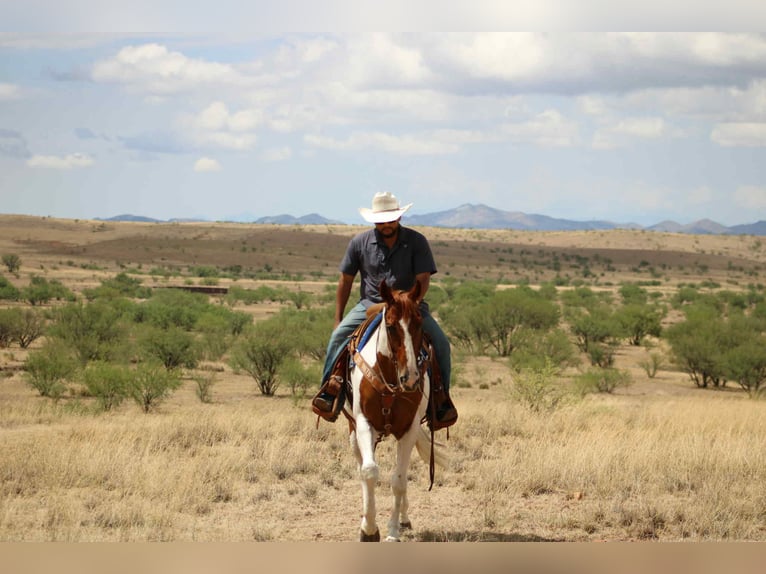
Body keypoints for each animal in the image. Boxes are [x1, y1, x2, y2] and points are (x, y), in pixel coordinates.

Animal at [344, 280, 447, 542]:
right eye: (390, 327)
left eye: (419, 324)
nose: (410, 378)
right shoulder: (364, 424)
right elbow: (369, 472)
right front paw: (369, 529)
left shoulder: (409, 429)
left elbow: (399, 480)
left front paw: (392, 531)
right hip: (353, 432)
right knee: (361, 468)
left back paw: (404, 518)